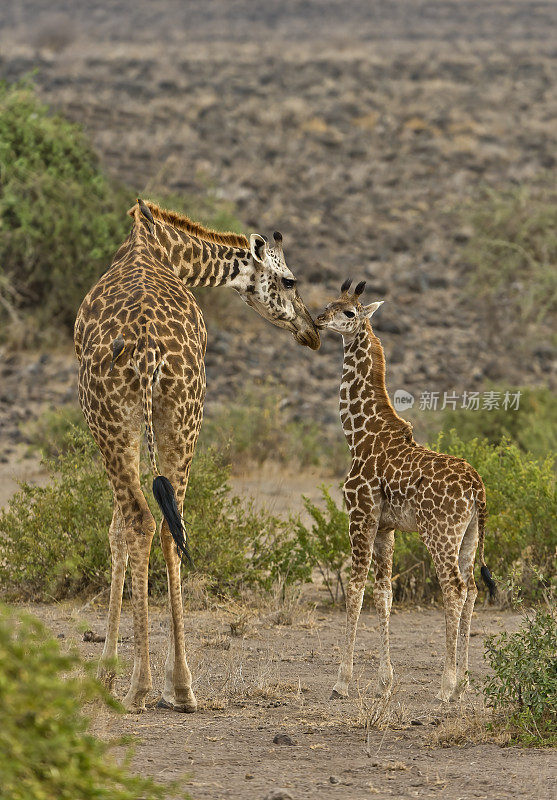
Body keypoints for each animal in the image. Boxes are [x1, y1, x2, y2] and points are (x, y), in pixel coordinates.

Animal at [74, 200, 320, 712]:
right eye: (290, 281)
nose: (312, 330)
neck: (161, 244)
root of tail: (148, 350)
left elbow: (114, 532)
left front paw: (107, 674)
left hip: (110, 417)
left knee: (140, 521)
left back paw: (142, 686)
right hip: (181, 415)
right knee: (170, 524)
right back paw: (182, 686)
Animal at [314, 282, 494, 700]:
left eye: (349, 312)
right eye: (330, 303)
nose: (318, 319)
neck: (358, 434)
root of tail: (477, 489)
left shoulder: (360, 514)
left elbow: (355, 589)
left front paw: (342, 682)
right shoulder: (386, 527)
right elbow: (384, 595)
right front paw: (385, 681)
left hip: (440, 533)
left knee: (454, 589)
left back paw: (446, 686)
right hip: (469, 536)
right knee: (473, 588)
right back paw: (463, 682)